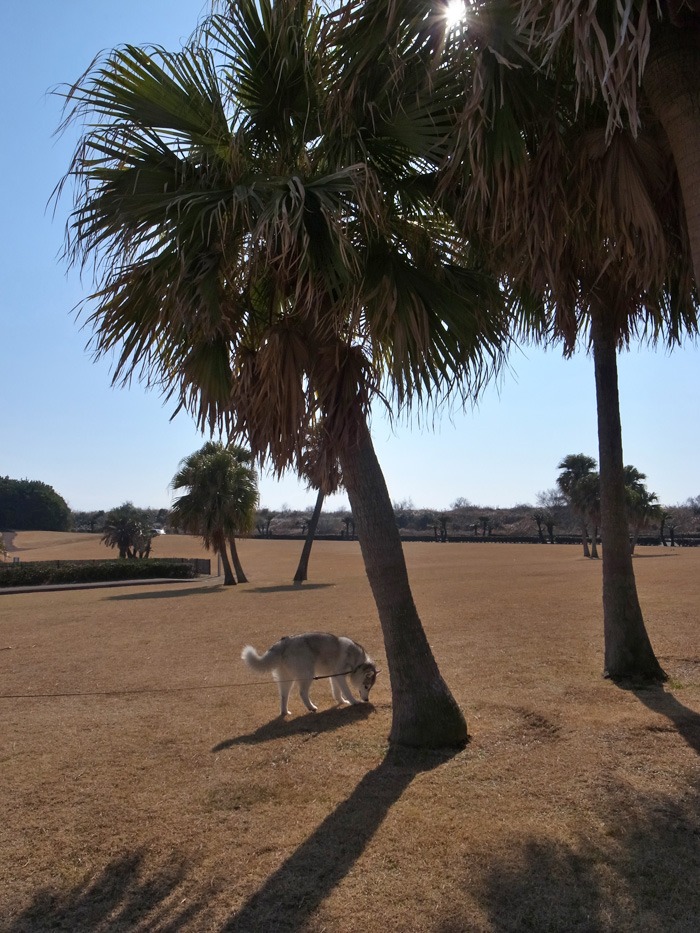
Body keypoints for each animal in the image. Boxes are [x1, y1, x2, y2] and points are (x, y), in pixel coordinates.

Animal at [242, 628, 382, 716]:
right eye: (366, 686)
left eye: (370, 687)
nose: (367, 700)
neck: (359, 663)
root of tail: (283, 642)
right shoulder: (340, 676)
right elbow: (346, 691)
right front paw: (354, 702)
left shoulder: (334, 676)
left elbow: (337, 692)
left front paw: (341, 702)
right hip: (307, 675)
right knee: (302, 693)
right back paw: (311, 707)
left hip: (287, 679)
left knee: (283, 696)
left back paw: (285, 712)